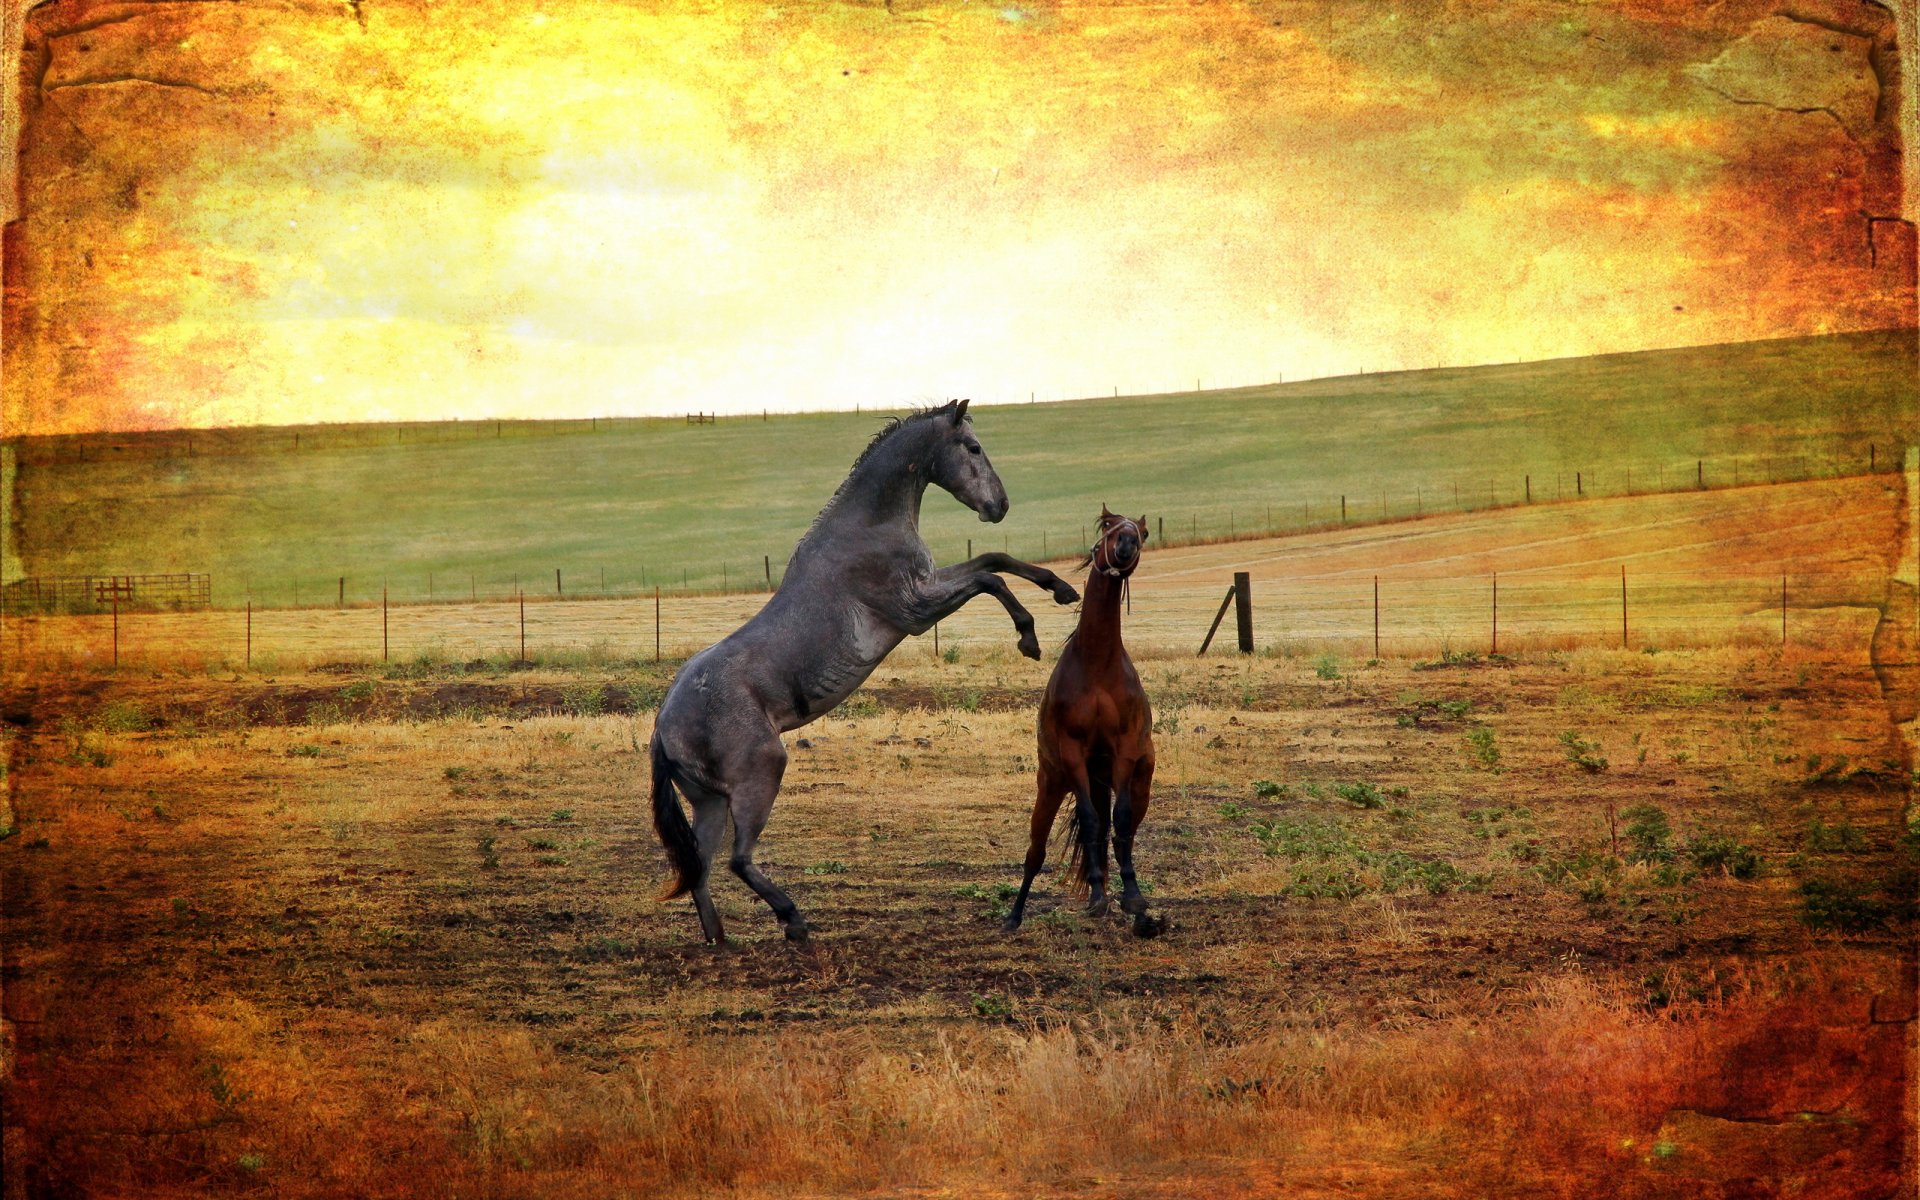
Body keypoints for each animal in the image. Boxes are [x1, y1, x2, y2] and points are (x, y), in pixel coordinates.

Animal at [652, 397, 1082, 940]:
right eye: (973, 447)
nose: (999, 506)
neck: (867, 527)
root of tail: (663, 726)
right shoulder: (916, 609)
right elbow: (989, 578)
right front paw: (1028, 636)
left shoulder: (928, 585)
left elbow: (994, 557)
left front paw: (1062, 589)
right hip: (761, 774)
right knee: (737, 860)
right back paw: (793, 921)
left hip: (708, 802)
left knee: (703, 870)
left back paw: (721, 941)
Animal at [1006, 506, 1152, 936]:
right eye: (1108, 526)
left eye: (1143, 533)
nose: (1126, 544)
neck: (1097, 664)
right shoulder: (1072, 753)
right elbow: (1089, 823)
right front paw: (1100, 898)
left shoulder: (1124, 751)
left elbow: (1119, 826)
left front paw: (1132, 898)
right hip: (1051, 786)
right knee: (1036, 852)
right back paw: (1014, 915)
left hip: (1137, 784)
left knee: (1121, 833)